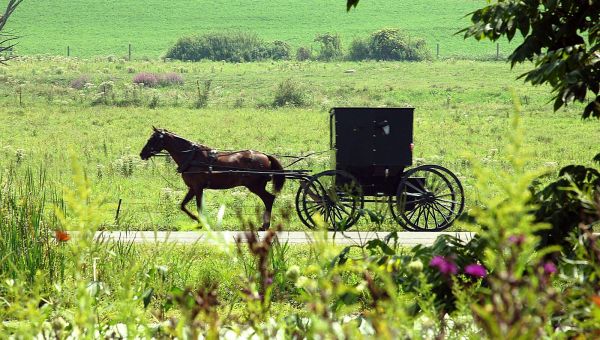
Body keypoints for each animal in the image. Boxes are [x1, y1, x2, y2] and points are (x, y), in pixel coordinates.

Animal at [139, 126, 284, 230]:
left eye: (153, 139)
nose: (142, 154)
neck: (192, 157)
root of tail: (265, 156)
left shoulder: (198, 188)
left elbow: (198, 206)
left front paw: (201, 222)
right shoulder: (193, 188)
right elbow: (183, 205)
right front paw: (198, 220)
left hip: (255, 186)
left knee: (269, 199)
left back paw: (265, 225)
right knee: (269, 199)